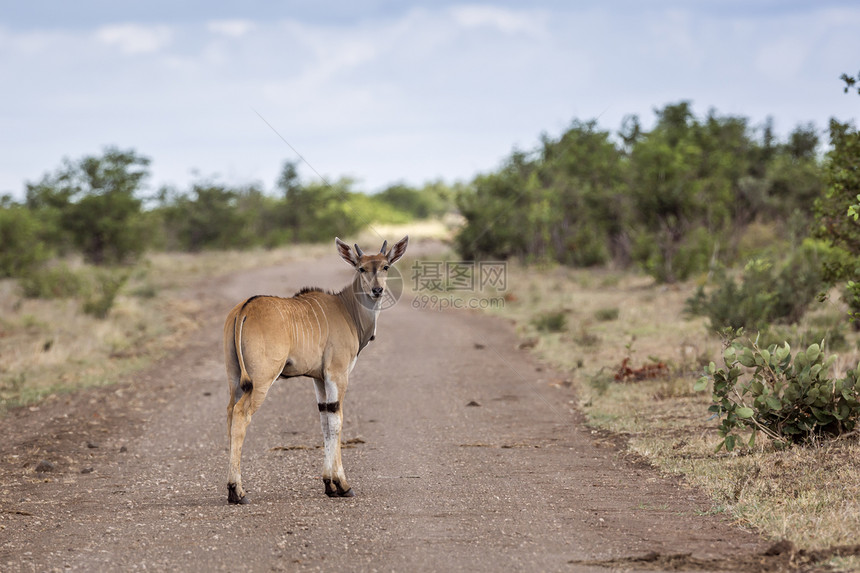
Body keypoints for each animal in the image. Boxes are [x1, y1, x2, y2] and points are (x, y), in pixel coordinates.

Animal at [223, 235, 408, 502]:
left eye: (385, 266)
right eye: (361, 268)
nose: (377, 290)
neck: (347, 310)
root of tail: (245, 309)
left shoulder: (319, 379)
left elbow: (325, 419)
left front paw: (329, 484)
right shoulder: (337, 374)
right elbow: (337, 420)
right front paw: (342, 485)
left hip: (235, 379)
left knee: (229, 413)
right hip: (261, 381)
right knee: (240, 414)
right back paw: (237, 490)